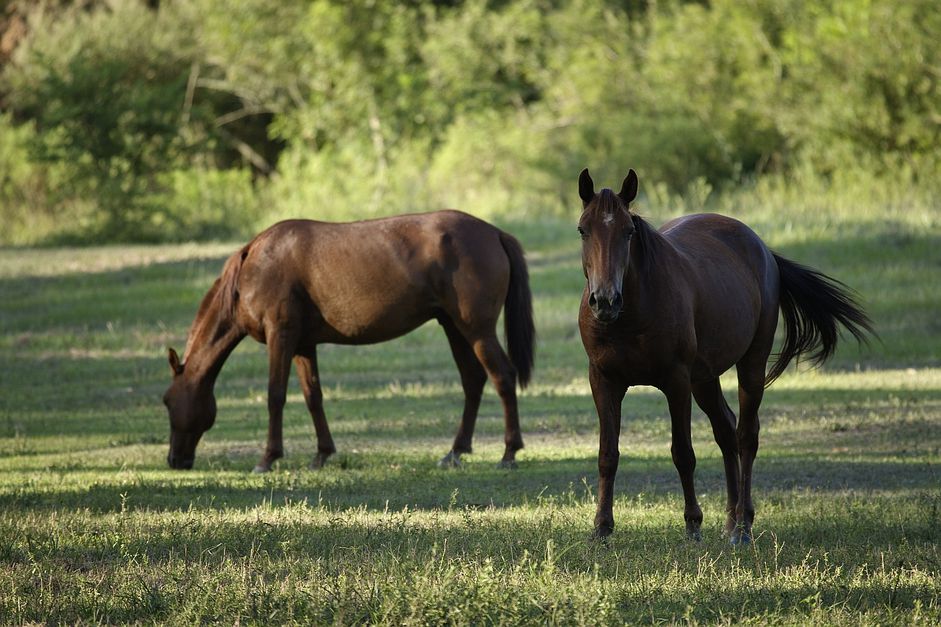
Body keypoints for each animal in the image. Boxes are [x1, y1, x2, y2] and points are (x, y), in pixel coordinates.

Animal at [158, 210, 532, 472]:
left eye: (166, 401)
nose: (175, 460)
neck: (256, 266)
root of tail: (495, 233)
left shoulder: (281, 336)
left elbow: (275, 395)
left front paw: (268, 458)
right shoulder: (303, 345)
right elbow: (313, 396)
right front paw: (321, 455)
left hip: (477, 330)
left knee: (502, 377)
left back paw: (508, 452)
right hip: (454, 327)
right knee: (473, 381)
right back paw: (454, 452)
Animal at [576, 168, 872, 544]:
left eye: (628, 231)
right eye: (583, 229)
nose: (605, 300)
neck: (632, 314)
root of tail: (762, 248)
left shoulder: (676, 382)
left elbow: (683, 453)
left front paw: (692, 524)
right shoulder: (604, 381)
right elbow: (607, 455)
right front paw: (601, 528)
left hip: (750, 365)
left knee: (746, 435)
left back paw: (743, 526)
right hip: (704, 380)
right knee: (726, 430)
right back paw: (731, 521)